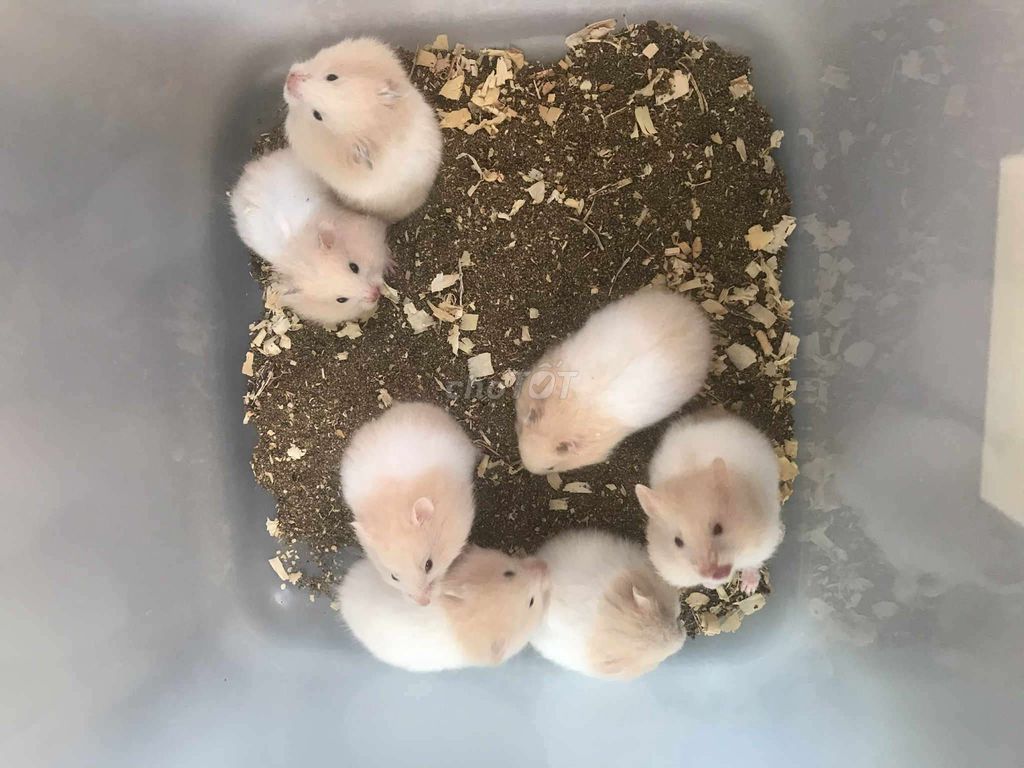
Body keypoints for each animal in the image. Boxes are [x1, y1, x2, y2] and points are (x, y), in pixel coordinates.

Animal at [636, 410, 783, 594]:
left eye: (718, 529)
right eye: (677, 542)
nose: (711, 573)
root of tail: (706, 412)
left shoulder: (762, 543)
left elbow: (753, 563)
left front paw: (748, 589)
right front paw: (710, 584)